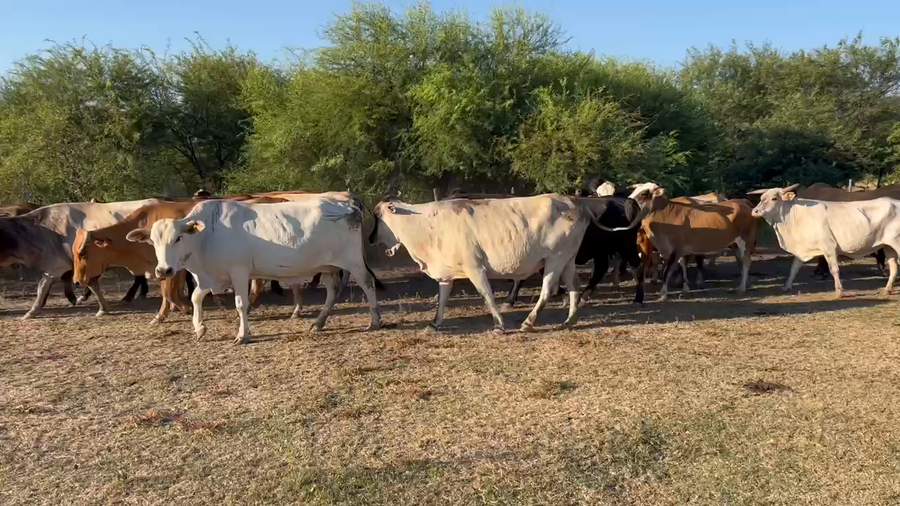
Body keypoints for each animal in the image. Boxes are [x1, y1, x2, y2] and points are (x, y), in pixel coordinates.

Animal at [125, 195, 382, 344]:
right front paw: (199, 328)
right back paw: (318, 322)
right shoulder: (210, 276)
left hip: (353, 261)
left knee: (367, 283)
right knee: (332, 291)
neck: (207, 235)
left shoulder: (239, 271)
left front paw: (242, 334)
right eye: (153, 241)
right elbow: (196, 297)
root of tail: (347, 204)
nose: (164, 270)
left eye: (178, 238)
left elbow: (241, 303)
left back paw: (375, 320)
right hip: (328, 266)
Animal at [369, 194, 597, 332]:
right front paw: (435, 324)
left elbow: (487, 295)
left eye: (378, 216)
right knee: (574, 286)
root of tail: (573, 203)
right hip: (567, 259)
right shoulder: (446, 273)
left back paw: (528, 322)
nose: (370, 239)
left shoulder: (475, 268)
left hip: (555, 259)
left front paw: (498, 324)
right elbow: (442, 299)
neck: (427, 225)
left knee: (547, 290)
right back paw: (569, 320)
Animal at [623, 187, 757, 301]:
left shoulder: (675, 249)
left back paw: (742, 288)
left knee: (746, 261)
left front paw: (663, 294)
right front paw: (685, 289)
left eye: (643, 194)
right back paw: (747, 283)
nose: (627, 202)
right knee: (741, 260)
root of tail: (743, 202)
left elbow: (667, 271)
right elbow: (682, 266)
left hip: (746, 240)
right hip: (736, 244)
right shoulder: (679, 250)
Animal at [751, 184, 900, 297]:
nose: (755, 211)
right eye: (761, 198)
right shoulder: (802, 249)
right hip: (888, 246)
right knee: (893, 266)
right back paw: (887, 289)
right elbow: (794, 268)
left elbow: (834, 269)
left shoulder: (829, 247)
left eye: (774, 198)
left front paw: (839, 291)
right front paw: (786, 287)